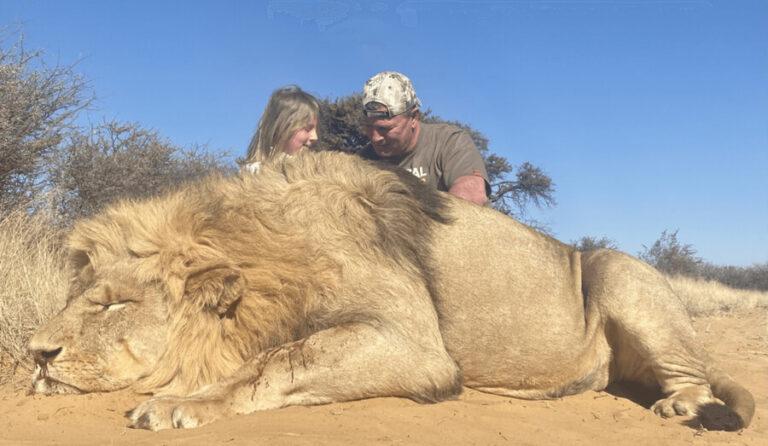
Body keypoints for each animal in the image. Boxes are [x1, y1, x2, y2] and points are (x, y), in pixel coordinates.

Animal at [29, 151, 754, 432]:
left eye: (113, 302)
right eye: (76, 295)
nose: (35, 355)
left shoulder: (415, 347)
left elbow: (276, 361)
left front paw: (178, 402)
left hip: (621, 272)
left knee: (691, 374)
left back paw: (684, 407)